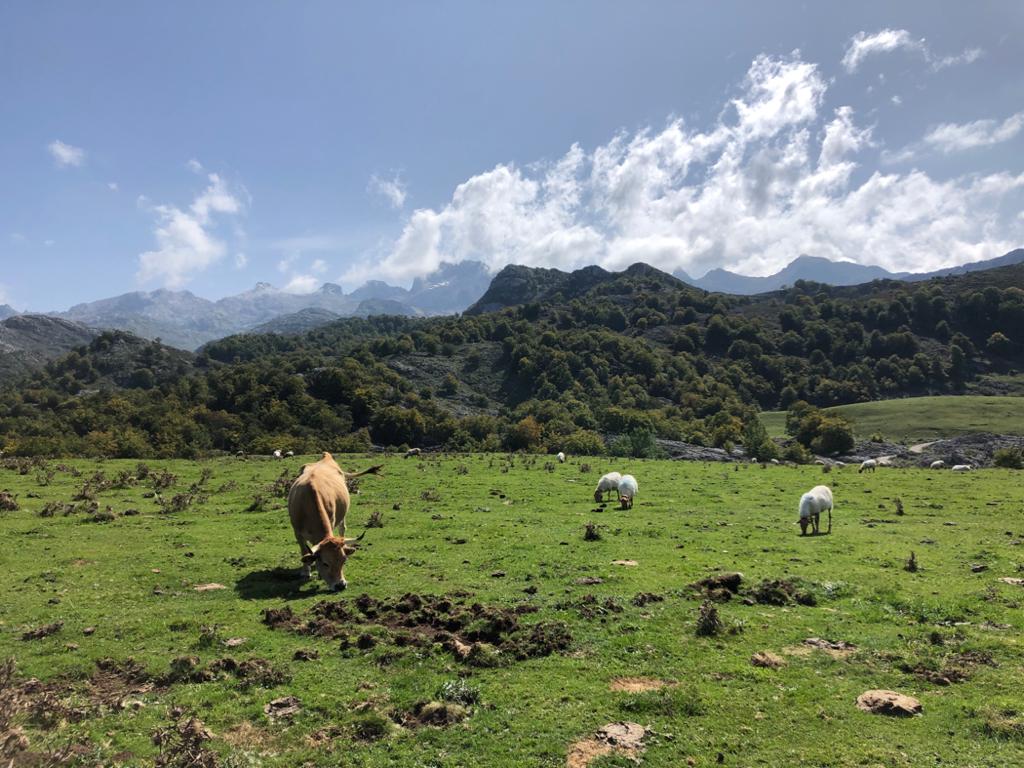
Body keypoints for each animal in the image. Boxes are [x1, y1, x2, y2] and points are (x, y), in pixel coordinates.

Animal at [287, 452, 382, 591]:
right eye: (325, 563)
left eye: (344, 561)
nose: (340, 585)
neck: (307, 504)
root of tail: (326, 456)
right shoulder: (297, 532)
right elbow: (304, 550)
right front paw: (306, 572)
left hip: (342, 516)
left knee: (343, 529)